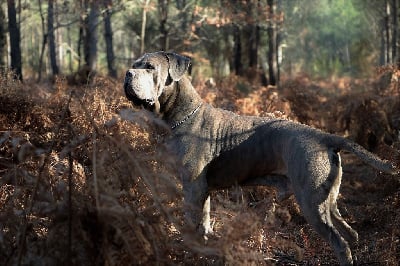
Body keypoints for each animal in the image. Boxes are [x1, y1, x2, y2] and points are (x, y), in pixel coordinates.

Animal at [123, 51, 398, 264]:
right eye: (135, 64)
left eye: (149, 67)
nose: (127, 73)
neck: (178, 116)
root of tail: (324, 137)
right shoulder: (203, 191)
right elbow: (205, 223)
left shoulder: (192, 188)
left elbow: (192, 226)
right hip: (327, 199)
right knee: (350, 233)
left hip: (311, 202)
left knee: (340, 242)